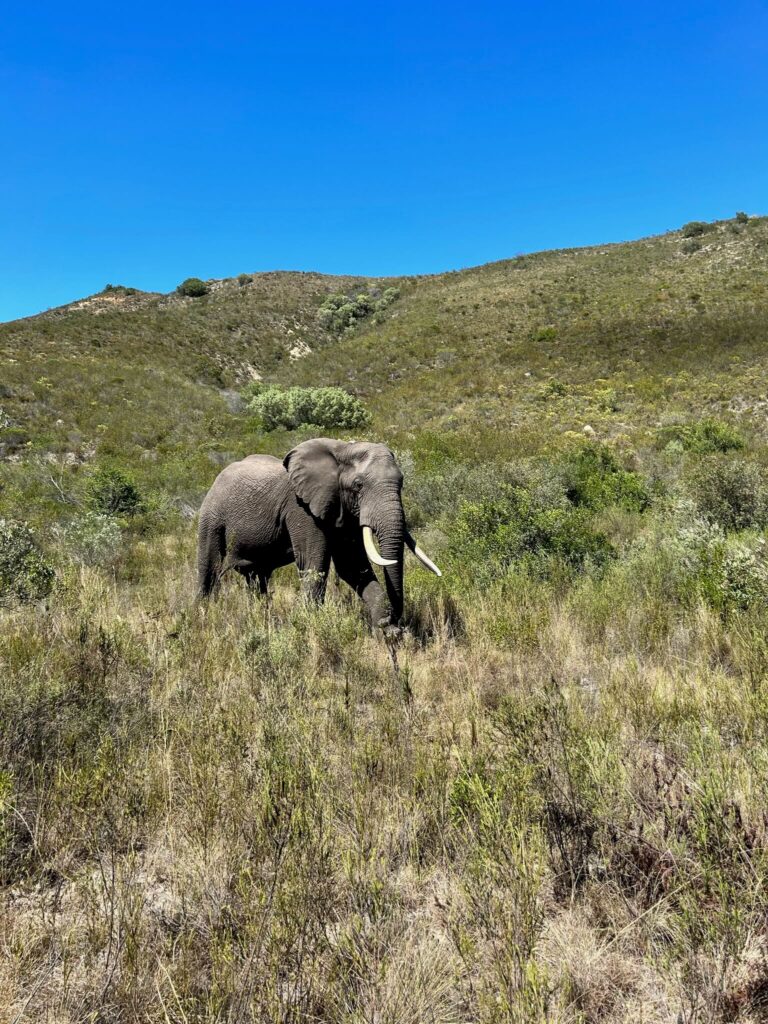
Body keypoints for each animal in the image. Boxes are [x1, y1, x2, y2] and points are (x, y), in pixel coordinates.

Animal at [196, 437, 441, 625]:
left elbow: (352, 567)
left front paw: (387, 631)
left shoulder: (344, 510)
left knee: (257, 578)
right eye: (358, 485)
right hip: (212, 516)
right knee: (209, 569)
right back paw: (201, 618)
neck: (343, 449)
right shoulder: (301, 508)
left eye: (401, 482)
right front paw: (307, 626)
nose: (392, 620)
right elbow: (314, 564)